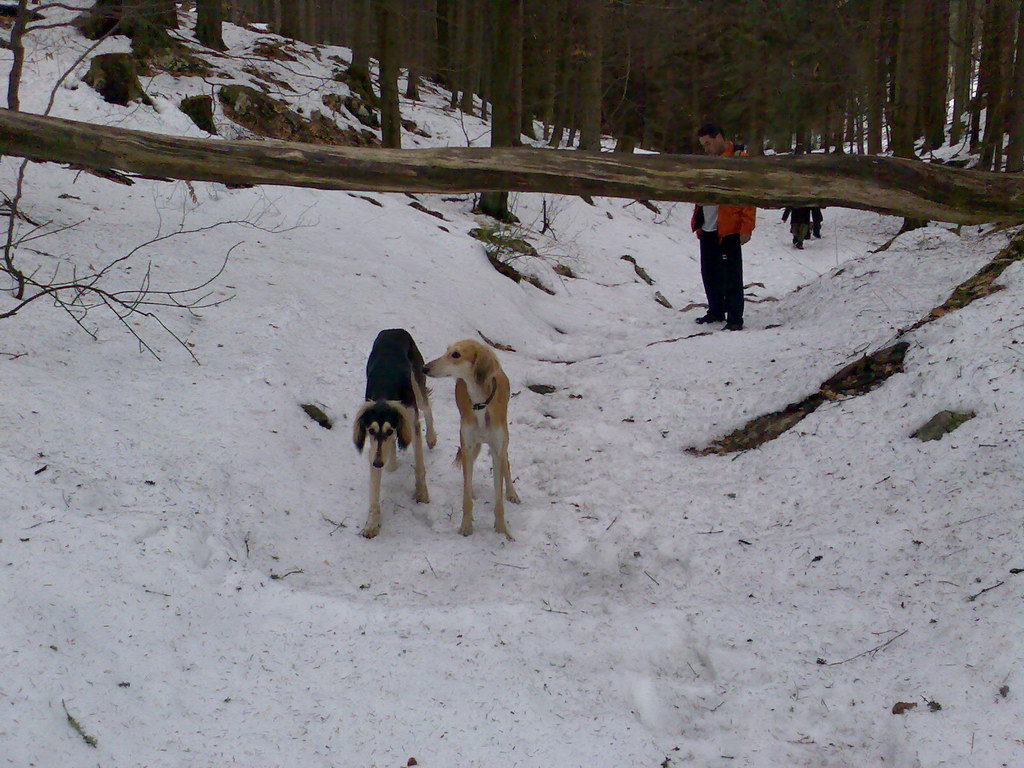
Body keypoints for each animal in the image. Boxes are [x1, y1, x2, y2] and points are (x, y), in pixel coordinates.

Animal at [352, 331, 436, 540]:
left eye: (389, 430)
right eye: (371, 430)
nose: (378, 463)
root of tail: (394, 329)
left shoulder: (411, 423)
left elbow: (419, 465)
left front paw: (421, 493)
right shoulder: (375, 449)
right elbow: (374, 491)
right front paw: (372, 524)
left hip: (418, 384)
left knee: (427, 408)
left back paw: (431, 438)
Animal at [421, 339, 520, 536]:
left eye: (456, 354)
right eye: (447, 351)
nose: (425, 368)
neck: (480, 404)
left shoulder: (497, 448)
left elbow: (499, 496)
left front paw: (502, 530)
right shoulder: (466, 444)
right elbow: (466, 496)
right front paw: (466, 526)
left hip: (503, 441)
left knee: (506, 463)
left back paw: (512, 492)